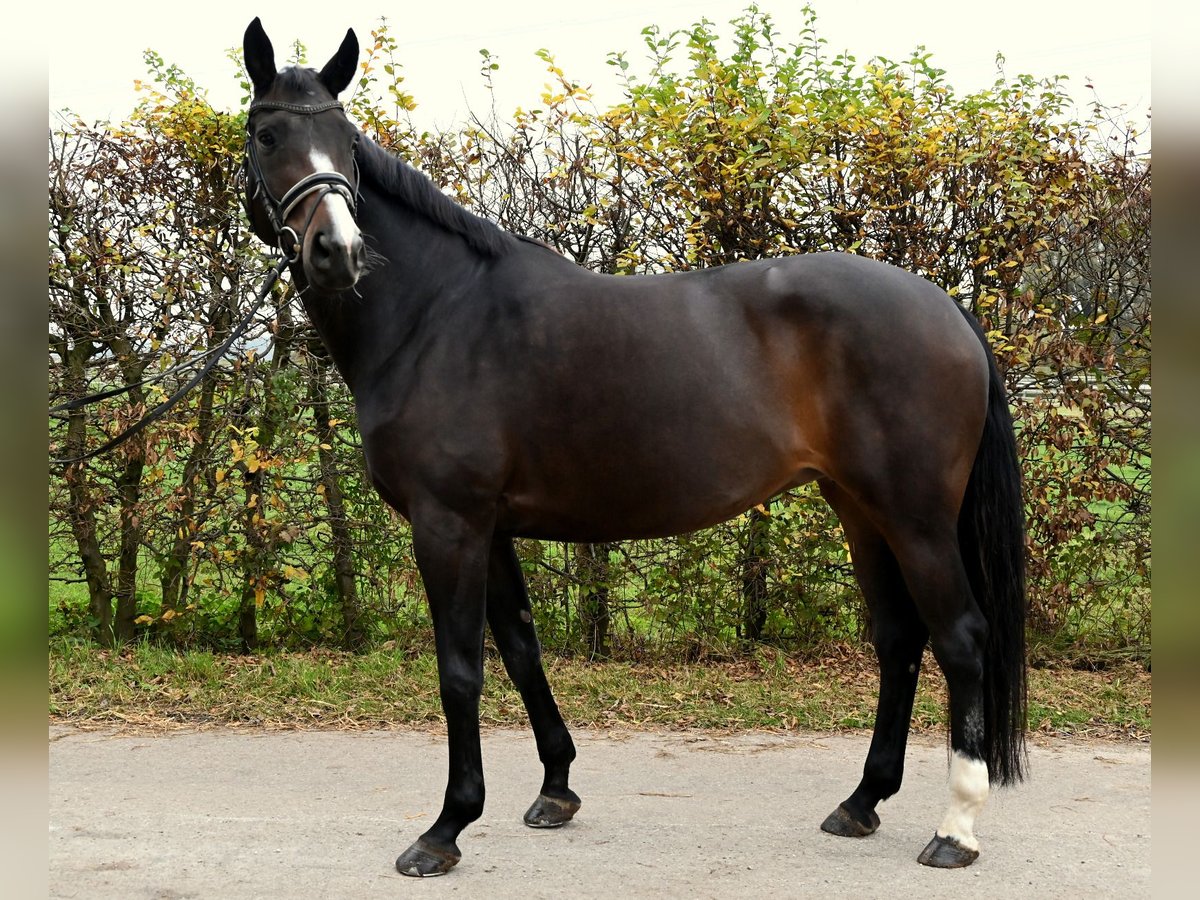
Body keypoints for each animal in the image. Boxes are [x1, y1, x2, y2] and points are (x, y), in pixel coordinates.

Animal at [238, 19, 1027, 883]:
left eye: (345, 140)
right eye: (268, 133)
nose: (337, 252)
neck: (436, 314)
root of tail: (946, 309)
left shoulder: (448, 523)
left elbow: (460, 670)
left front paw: (445, 828)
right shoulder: (491, 527)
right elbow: (521, 647)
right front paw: (555, 788)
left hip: (916, 518)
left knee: (961, 638)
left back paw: (955, 829)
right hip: (858, 507)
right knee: (898, 638)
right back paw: (860, 803)